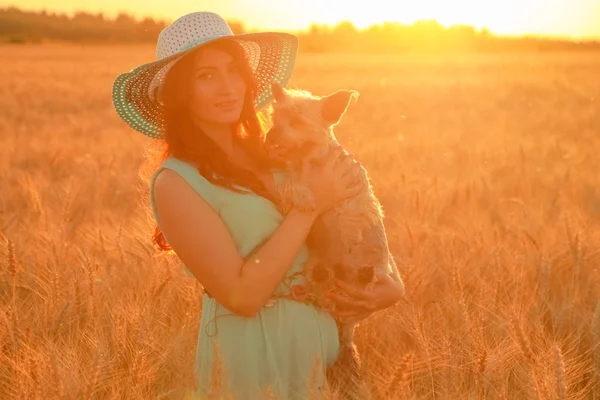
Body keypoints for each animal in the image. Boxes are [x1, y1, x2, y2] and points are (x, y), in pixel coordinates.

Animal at [264, 83, 400, 398]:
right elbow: (289, 185)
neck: (307, 162)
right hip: (319, 280)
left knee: (363, 281)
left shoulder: (350, 197)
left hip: (370, 276)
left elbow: (346, 211)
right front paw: (299, 193)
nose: (271, 135)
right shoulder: (292, 177)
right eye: (276, 117)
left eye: (297, 121)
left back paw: (361, 275)